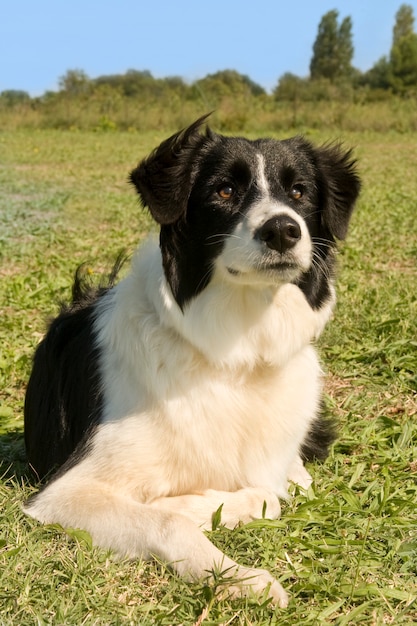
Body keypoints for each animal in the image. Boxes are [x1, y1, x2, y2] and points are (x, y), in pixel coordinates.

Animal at [23, 117, 358, 604]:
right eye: (224, 191)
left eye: (299, 191)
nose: (282, 230)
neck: (238, 352)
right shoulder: (64, 492)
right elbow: (171, 520)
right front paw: (245, 579)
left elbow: (272, 491)